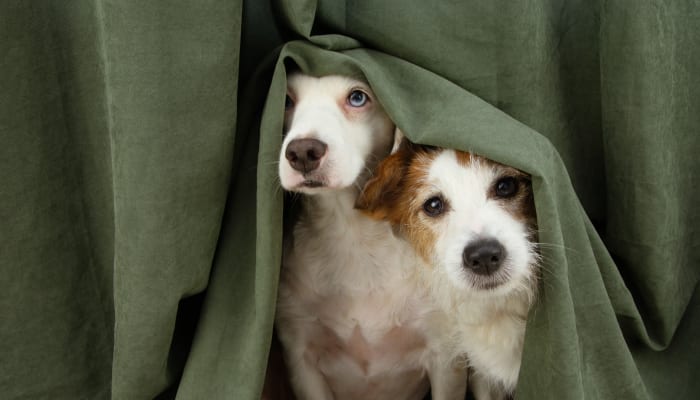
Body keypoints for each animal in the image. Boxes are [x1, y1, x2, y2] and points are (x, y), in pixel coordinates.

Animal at [274, 72, 464, 400]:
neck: (353, 235)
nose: (302, 152)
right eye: (285, 98)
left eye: (357, 97)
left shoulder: (446, 356)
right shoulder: (301, 356)